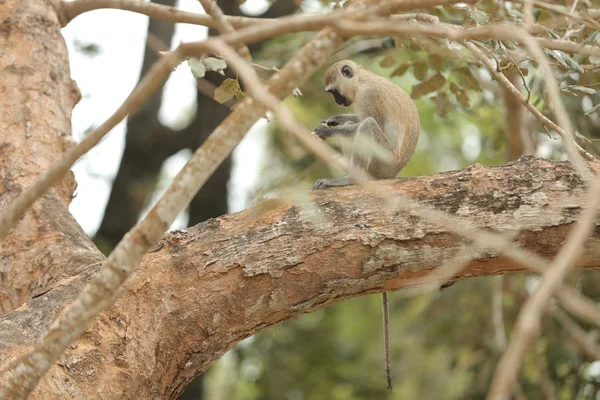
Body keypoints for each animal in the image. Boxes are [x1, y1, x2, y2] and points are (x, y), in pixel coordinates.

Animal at [312, 59, 420, 390]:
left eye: (334, 92)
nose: (338, 103)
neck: (363, 81)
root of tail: (391, 175)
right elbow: (356, 118)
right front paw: (335, 120)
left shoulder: (370, 97)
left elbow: (366, 122)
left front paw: (330, 128)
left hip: (382, 161)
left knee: (367, 128)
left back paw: (348, 179)